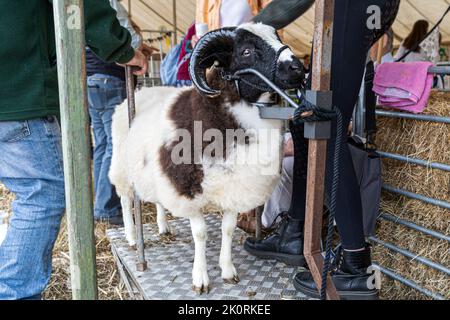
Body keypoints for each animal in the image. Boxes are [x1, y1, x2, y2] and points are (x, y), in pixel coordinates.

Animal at [110, 21, 306, 292]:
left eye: (278, 39)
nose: (299, 69)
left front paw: (228, 270)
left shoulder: (235, 186)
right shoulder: (188, 190)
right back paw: (130, 237)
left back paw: (163, 227)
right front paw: (200, 278)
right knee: (126, 200)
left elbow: (228, 229)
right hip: (124, 169)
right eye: (246, 51)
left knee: (158, 200)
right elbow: (200, 233)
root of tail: (138, 93)